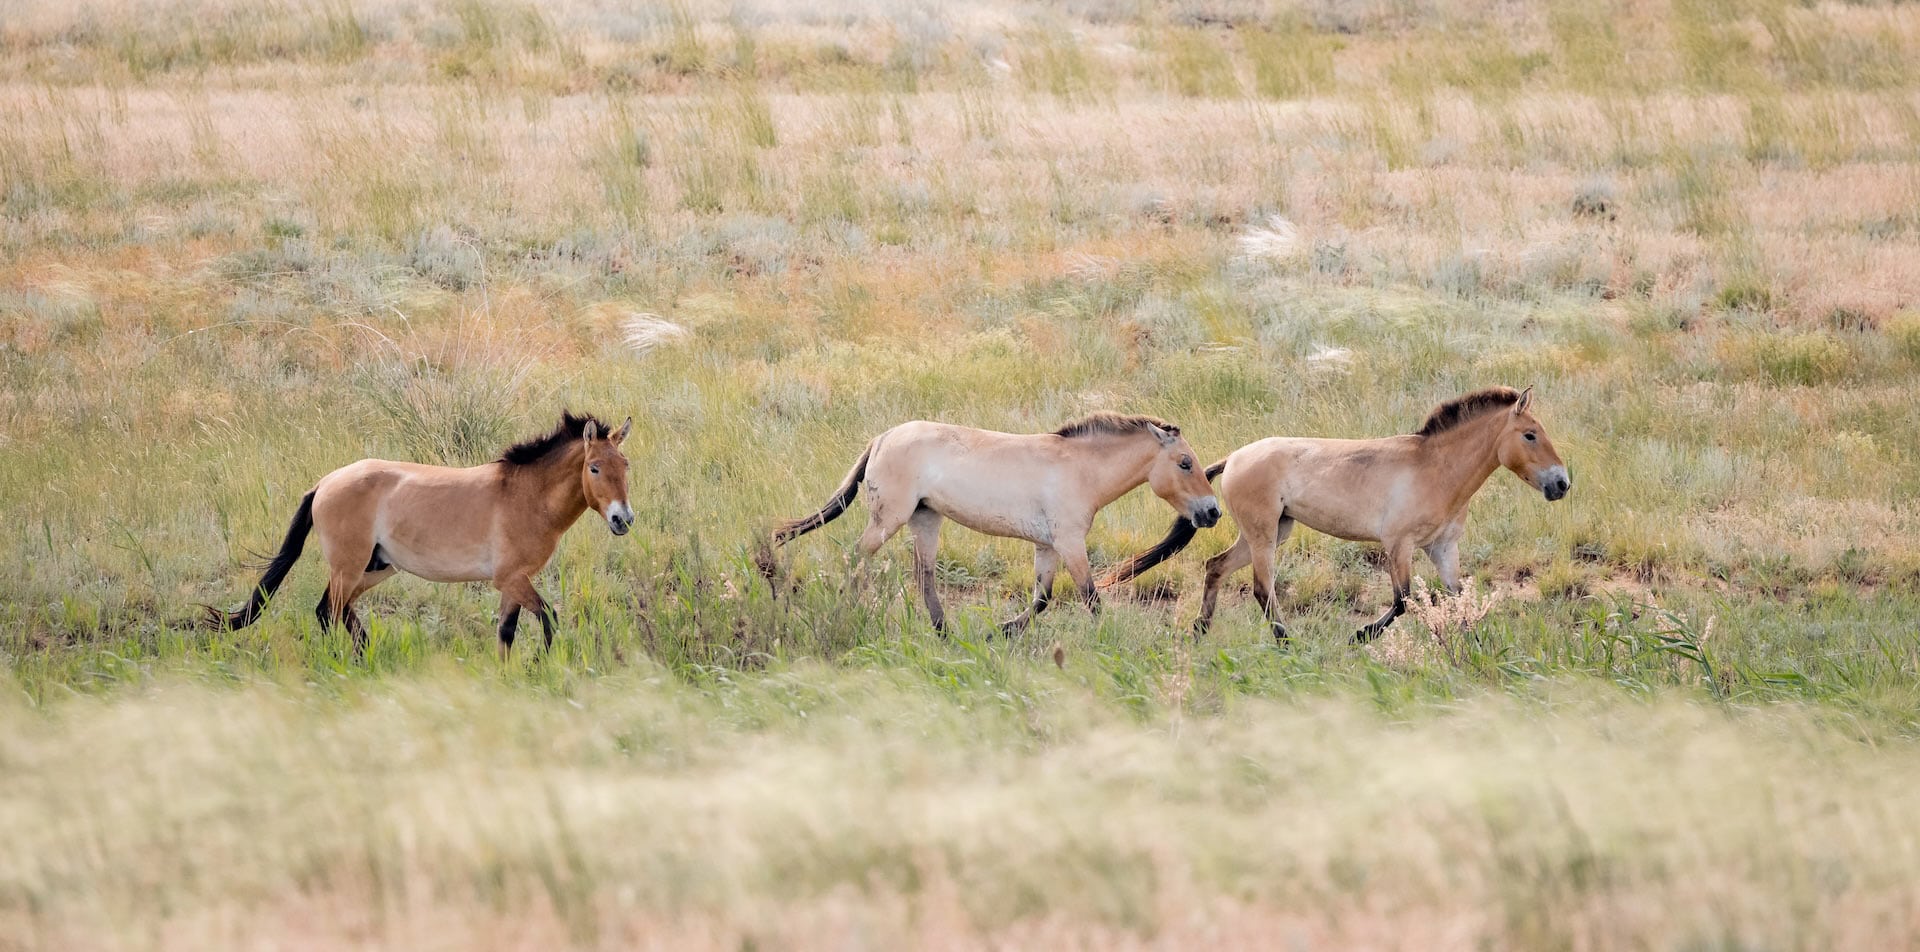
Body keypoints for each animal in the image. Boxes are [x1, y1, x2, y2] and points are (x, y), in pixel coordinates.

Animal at [205, 412, 635, 658]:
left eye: (625, 465)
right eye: (594, 468)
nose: (623, 520)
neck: (526, 496)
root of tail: (325, 483)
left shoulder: (514, 583)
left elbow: (506, 632)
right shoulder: (511, 578)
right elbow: (548, 619)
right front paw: (536, 667)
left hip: (375, 568)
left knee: (339, 611)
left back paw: (364, 658)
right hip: (348, 566)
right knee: (328, 611)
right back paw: (343, 663)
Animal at [772, 413, 1223, 634]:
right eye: (1185, 463)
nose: (1213, 512)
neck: (1080, 468)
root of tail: (881, 438)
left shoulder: (1048, 547)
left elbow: (1042, 599)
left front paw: (1001, 631)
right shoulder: (1070, 543)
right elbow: (1091, 598)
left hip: (924, 519)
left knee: (923, 577)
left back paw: (946, 633)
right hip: (889, 520)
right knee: (855, 560)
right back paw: (841, 611)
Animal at [1100, 386, 1569, 643]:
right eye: (1530, 435)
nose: (1562, 484)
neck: (1435, 469)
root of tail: (1234, 458)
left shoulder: (1442, 549)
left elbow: (1458, 600)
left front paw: (1473, 646)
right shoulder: (1398, 546)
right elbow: (1404, 600)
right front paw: (1357, 637)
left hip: (1270, 532)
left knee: (1215, 568)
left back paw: (1200, 633)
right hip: (1264, 535)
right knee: (1262, 589)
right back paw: (1287, 643)